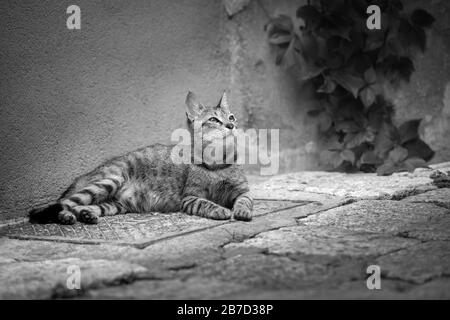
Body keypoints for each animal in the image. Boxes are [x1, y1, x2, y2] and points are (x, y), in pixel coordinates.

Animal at [29, 91, 253, 224]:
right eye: (214, 120)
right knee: (62, 203)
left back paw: (86, 214)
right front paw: (221, 210)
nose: (231, 125)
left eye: (231, 117)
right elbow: (207, 203)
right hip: (110, 180)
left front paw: (241, 211)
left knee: (82, 205)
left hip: (116, 204)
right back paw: (66, 215)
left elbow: (245, 201)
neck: (219, 162)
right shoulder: (190, 198)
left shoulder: (243, 191)